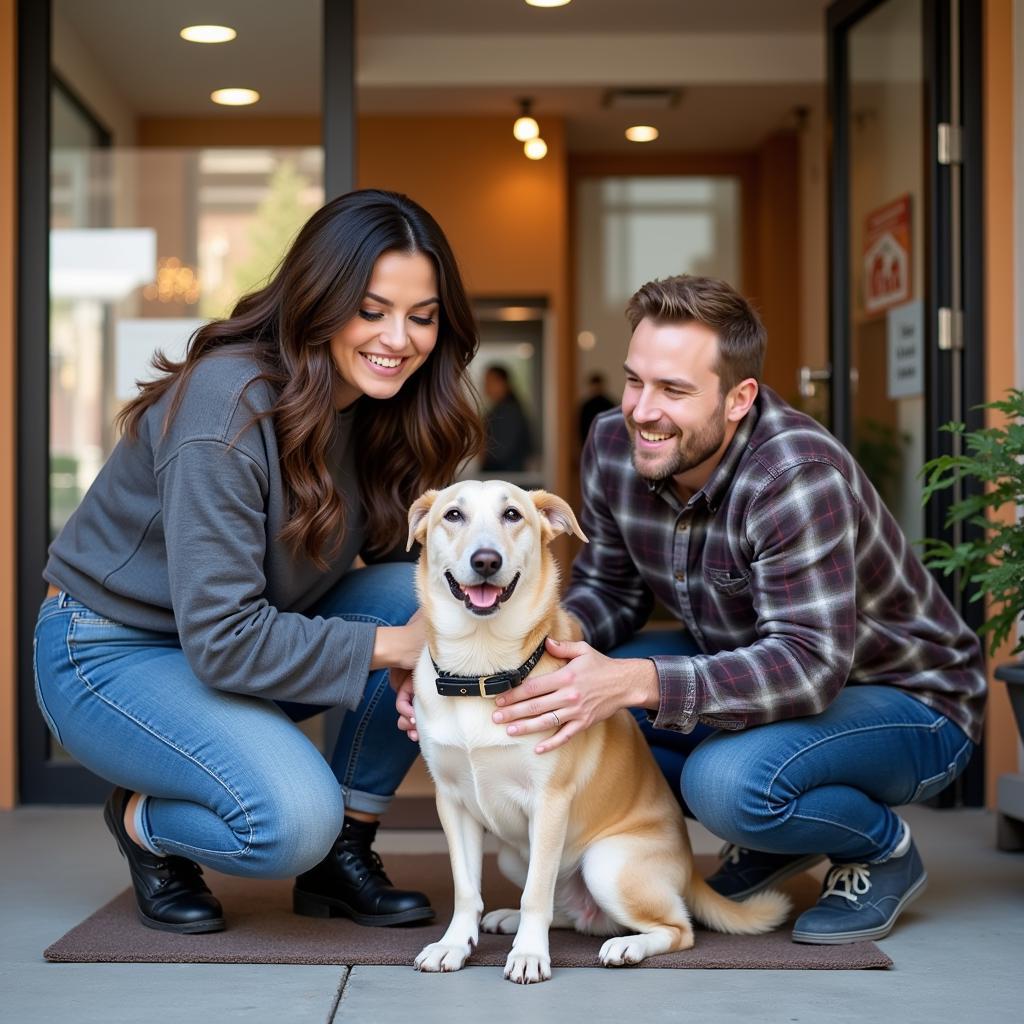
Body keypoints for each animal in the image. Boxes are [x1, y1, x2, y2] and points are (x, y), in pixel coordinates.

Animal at [403, 481, 786, 983]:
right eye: (453, 515)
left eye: (512, 515)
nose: (486, 560)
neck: (481, 668)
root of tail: (690, 870)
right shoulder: (452, 802)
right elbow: (468, 889)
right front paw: (454, 944)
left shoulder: (550, 802)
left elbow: (536, 894)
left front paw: (530, 955)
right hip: (514, 856)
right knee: (573, 914)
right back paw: (510, 919)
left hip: (608, 864)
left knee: (677, 928)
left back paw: (627, 946)